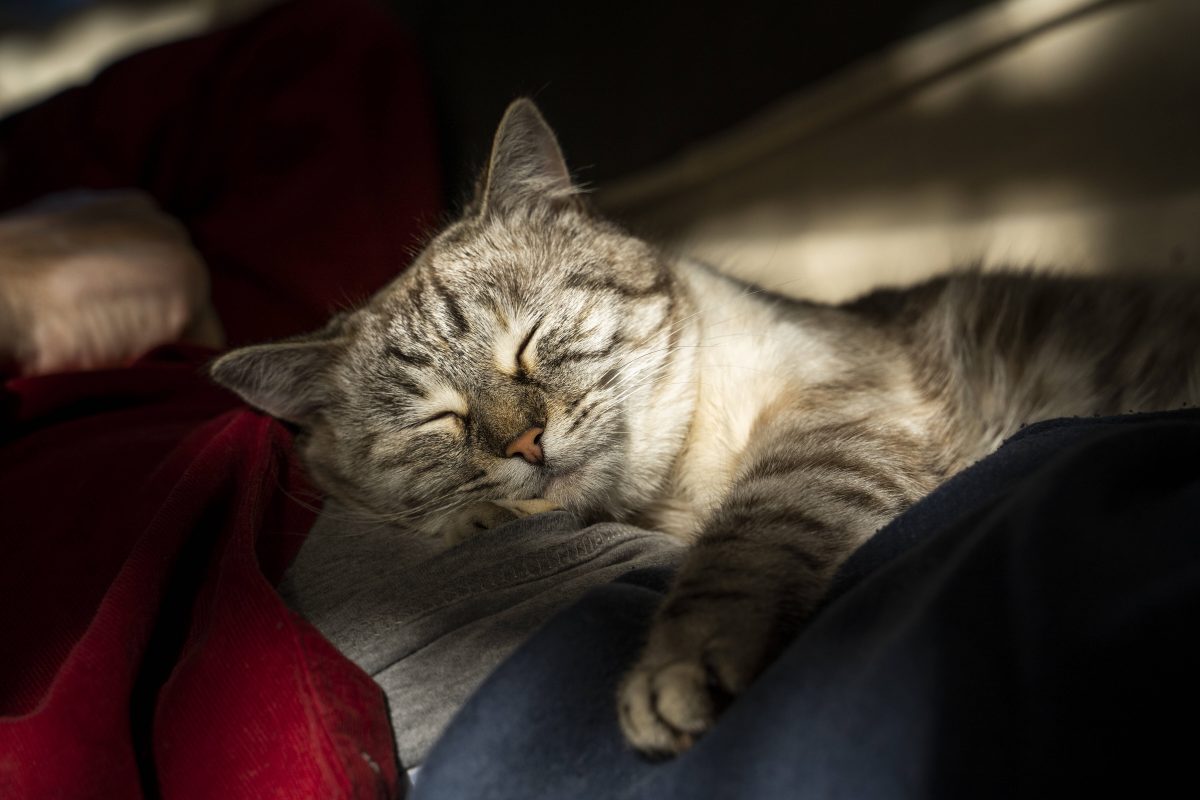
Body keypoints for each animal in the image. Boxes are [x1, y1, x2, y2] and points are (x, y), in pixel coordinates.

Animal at [211, 98, 1200, 758]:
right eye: (437, 420)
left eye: (528, 341)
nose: (524, 444)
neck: (675, 491)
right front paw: (483, 516)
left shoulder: (836, 420)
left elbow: (742, 549)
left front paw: (675, 672)